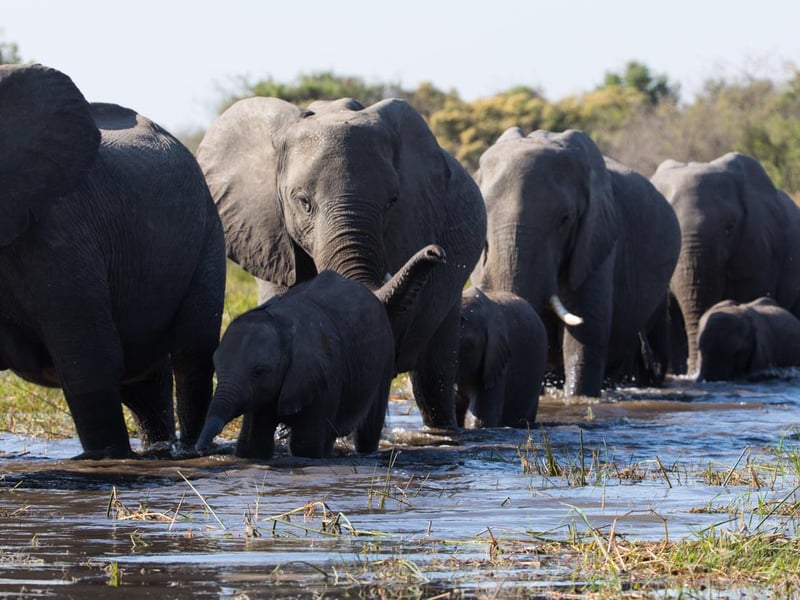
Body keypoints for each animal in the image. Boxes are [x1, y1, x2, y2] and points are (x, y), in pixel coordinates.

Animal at [0, 64, 226, 458]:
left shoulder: (60, 236)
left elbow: (88, 361)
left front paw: (107, 459)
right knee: (143, 385)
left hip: (206, 235)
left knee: (192, 357)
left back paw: (191, 452)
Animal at [195, 244, 446, 459]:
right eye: (216, 368)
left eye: (259, 372)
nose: (201, 449)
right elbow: (252, 444)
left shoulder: (323, 378)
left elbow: (305, 445)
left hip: (383, 359)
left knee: (367, 429)